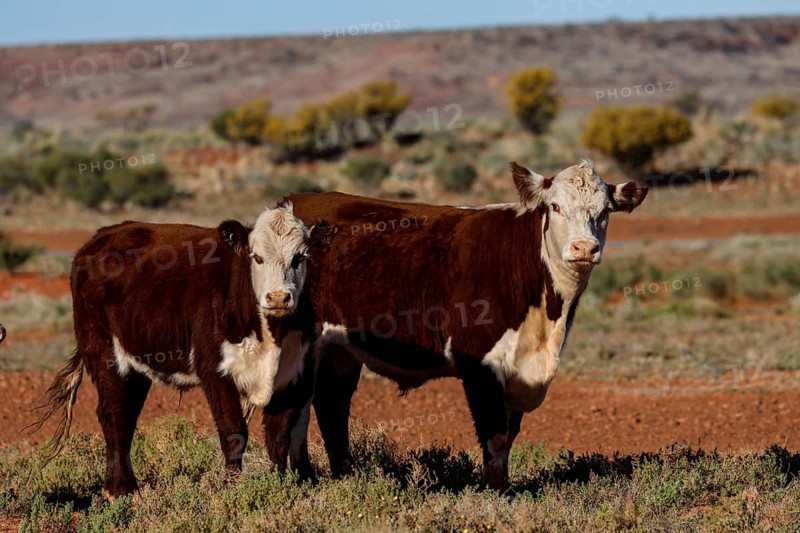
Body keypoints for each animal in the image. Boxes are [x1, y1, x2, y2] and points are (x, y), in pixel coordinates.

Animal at [29, 203, 334, 498]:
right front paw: (232, 487)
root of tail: (100, 238)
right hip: (105, 354)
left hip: (137, 366)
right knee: (113, 415)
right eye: (256, 257)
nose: (278, 297)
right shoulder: (215, 371)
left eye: (300, 257)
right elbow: (233, 432)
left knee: (126, 416)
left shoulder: (294, 376)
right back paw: (120, 489)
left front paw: (278, 485)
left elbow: (279, 435)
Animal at [286, 159, 647, 491]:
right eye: (555, 206)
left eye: (606, 211)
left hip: (339, 351)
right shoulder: (481, 363)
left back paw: (342, 477)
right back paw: (305, 478)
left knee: (331, 405)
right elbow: (495, 434)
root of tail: (294, 201)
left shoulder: (520, 370)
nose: (584, 248)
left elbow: (509, 434)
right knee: (300, 408)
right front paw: (495, 491)